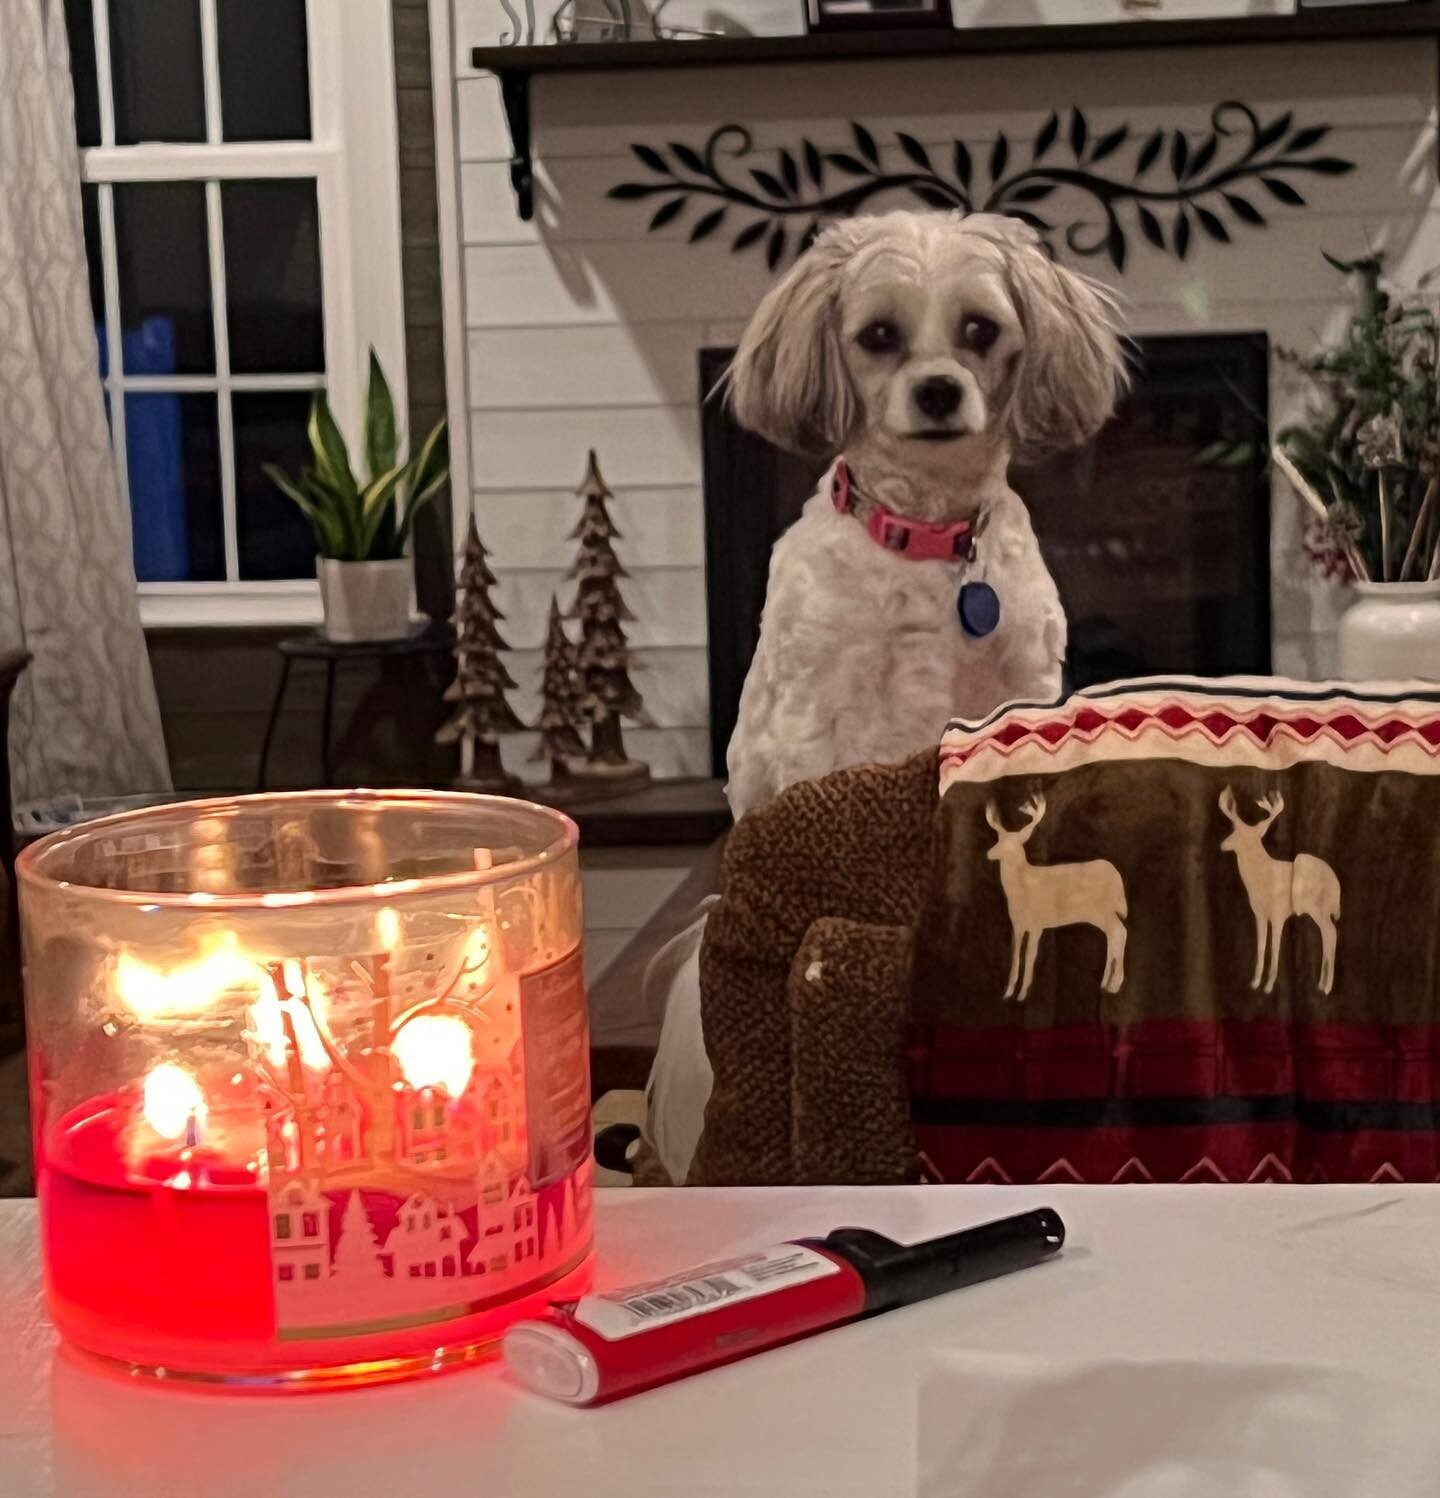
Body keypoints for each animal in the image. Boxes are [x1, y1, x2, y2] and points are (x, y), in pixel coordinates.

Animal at [731, 208, 1126, 820]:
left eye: (981, 329)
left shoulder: (1019, 686)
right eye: (878, 335)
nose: (938, 390)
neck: (928, 531)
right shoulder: (816, 714)